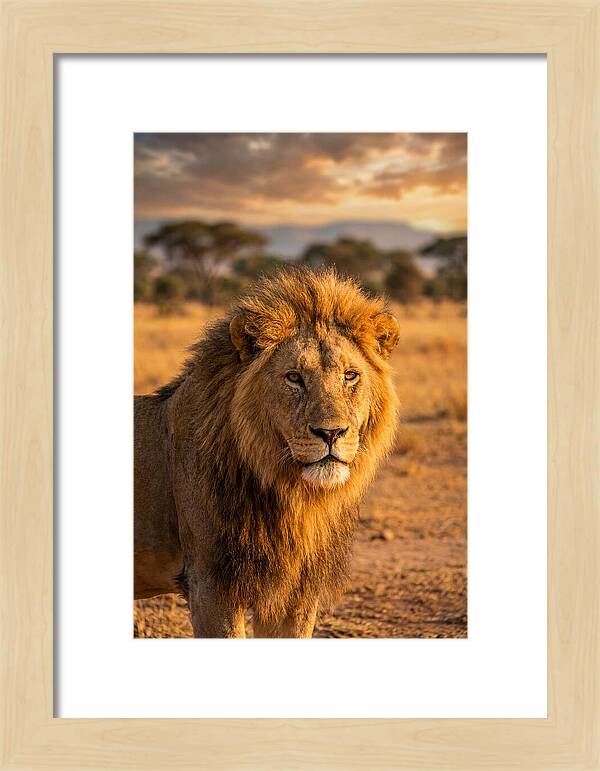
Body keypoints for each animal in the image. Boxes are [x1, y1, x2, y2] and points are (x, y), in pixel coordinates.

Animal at [134, 268, 399, 637]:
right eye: (294, 378)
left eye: (350, 376)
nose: (331, 433)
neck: (293, 496)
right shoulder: (211, 585)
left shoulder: (296, 593)